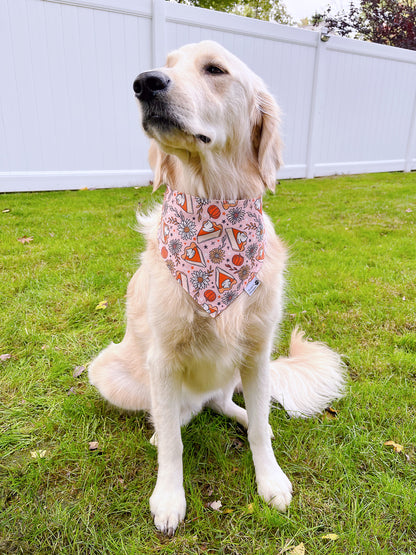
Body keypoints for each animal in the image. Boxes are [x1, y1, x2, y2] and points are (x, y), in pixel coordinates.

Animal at [89, 41, 346, 536]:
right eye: (167, 66)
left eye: (214, 70)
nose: (145, 82)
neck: (213, 211)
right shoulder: (163, 358)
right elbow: (174, 442)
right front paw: (169, 497)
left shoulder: (257, 351)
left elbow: (261, 428)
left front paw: (270, 479)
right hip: (109, 370)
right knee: (178, 416)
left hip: (235, 373)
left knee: (230, 406)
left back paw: (243, 413)